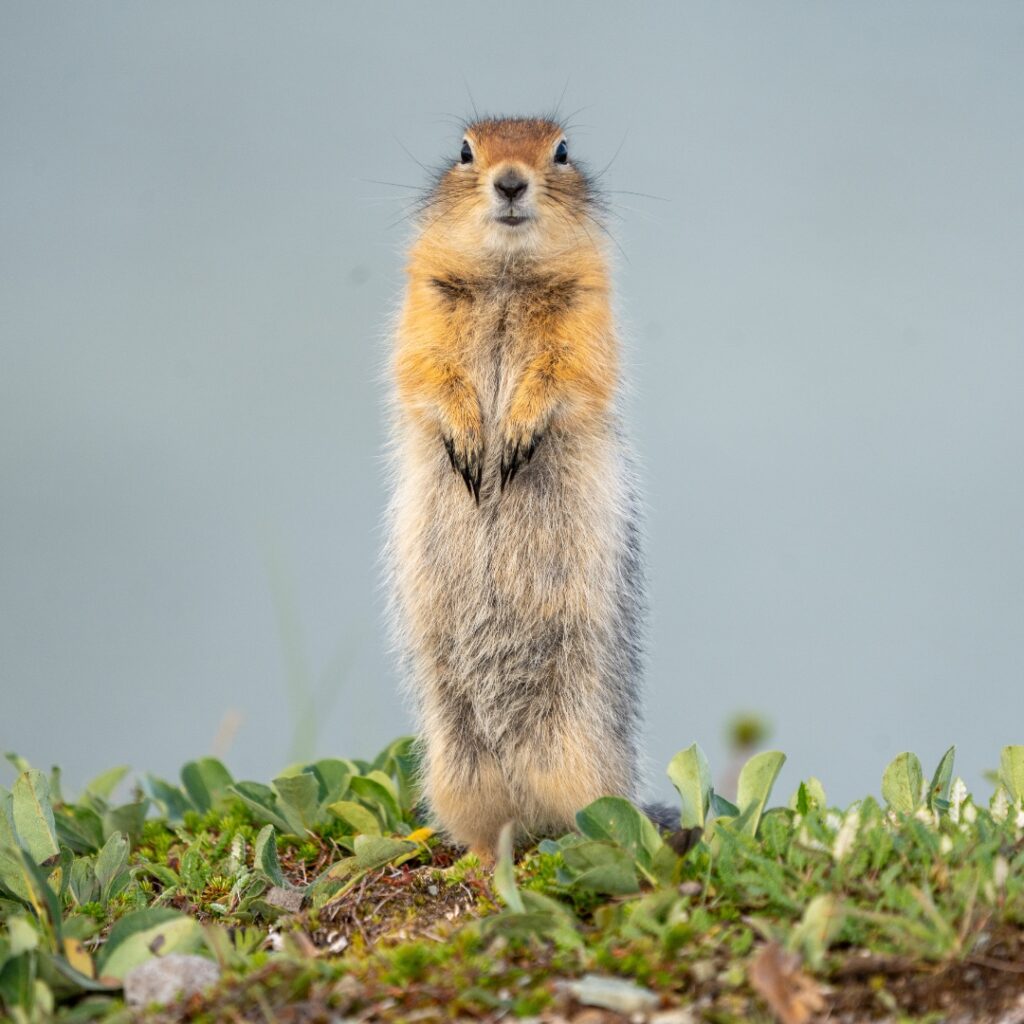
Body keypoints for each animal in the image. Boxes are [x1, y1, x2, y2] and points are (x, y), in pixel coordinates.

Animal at [386, 116, 667, 859]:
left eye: (562, 151)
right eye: (465, 150)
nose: (510, 182)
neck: (507, 278)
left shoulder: (586, 305)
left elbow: (567, 369)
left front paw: (513, 436)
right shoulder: (422, 301)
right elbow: (423, 367)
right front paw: (468, 441)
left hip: (578, 753)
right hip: (457, 767)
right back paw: (480, 862)